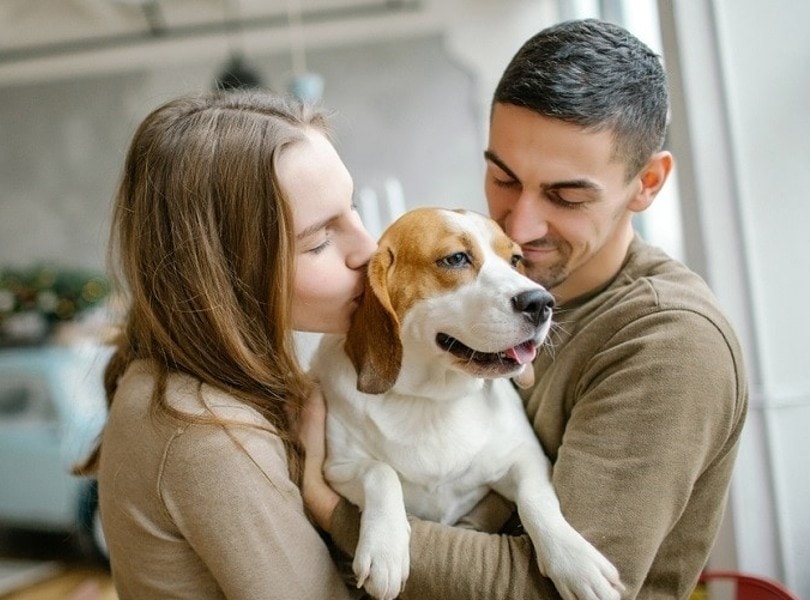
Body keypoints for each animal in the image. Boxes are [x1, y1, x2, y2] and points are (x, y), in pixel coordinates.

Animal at [308, 209, 620, 600]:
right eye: (456, 258)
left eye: (516, 260)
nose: (541, 302)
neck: (431, 399)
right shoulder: (337, 468)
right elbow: (380, 473)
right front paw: (384, 547)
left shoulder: (525, 458)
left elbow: (537, 501)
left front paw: (574, 559)